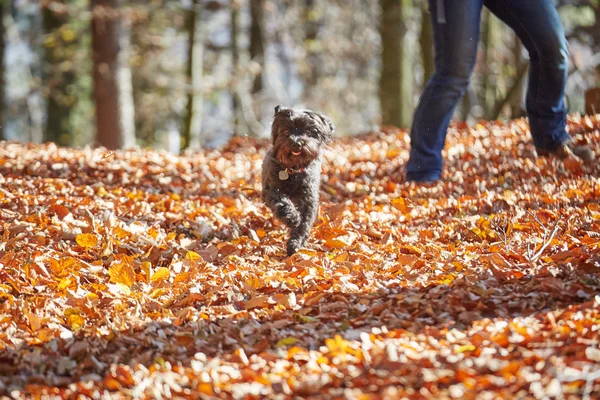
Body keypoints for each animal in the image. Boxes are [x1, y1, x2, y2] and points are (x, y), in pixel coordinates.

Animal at [262, 105, 336, 256]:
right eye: (286, 130)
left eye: (308, 131)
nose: (296, 143)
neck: (293, 171)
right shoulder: (271, 190)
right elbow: (282, 203)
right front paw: (292, 218)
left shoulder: (308, 199)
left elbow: (304, 223)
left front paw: (295, 243)